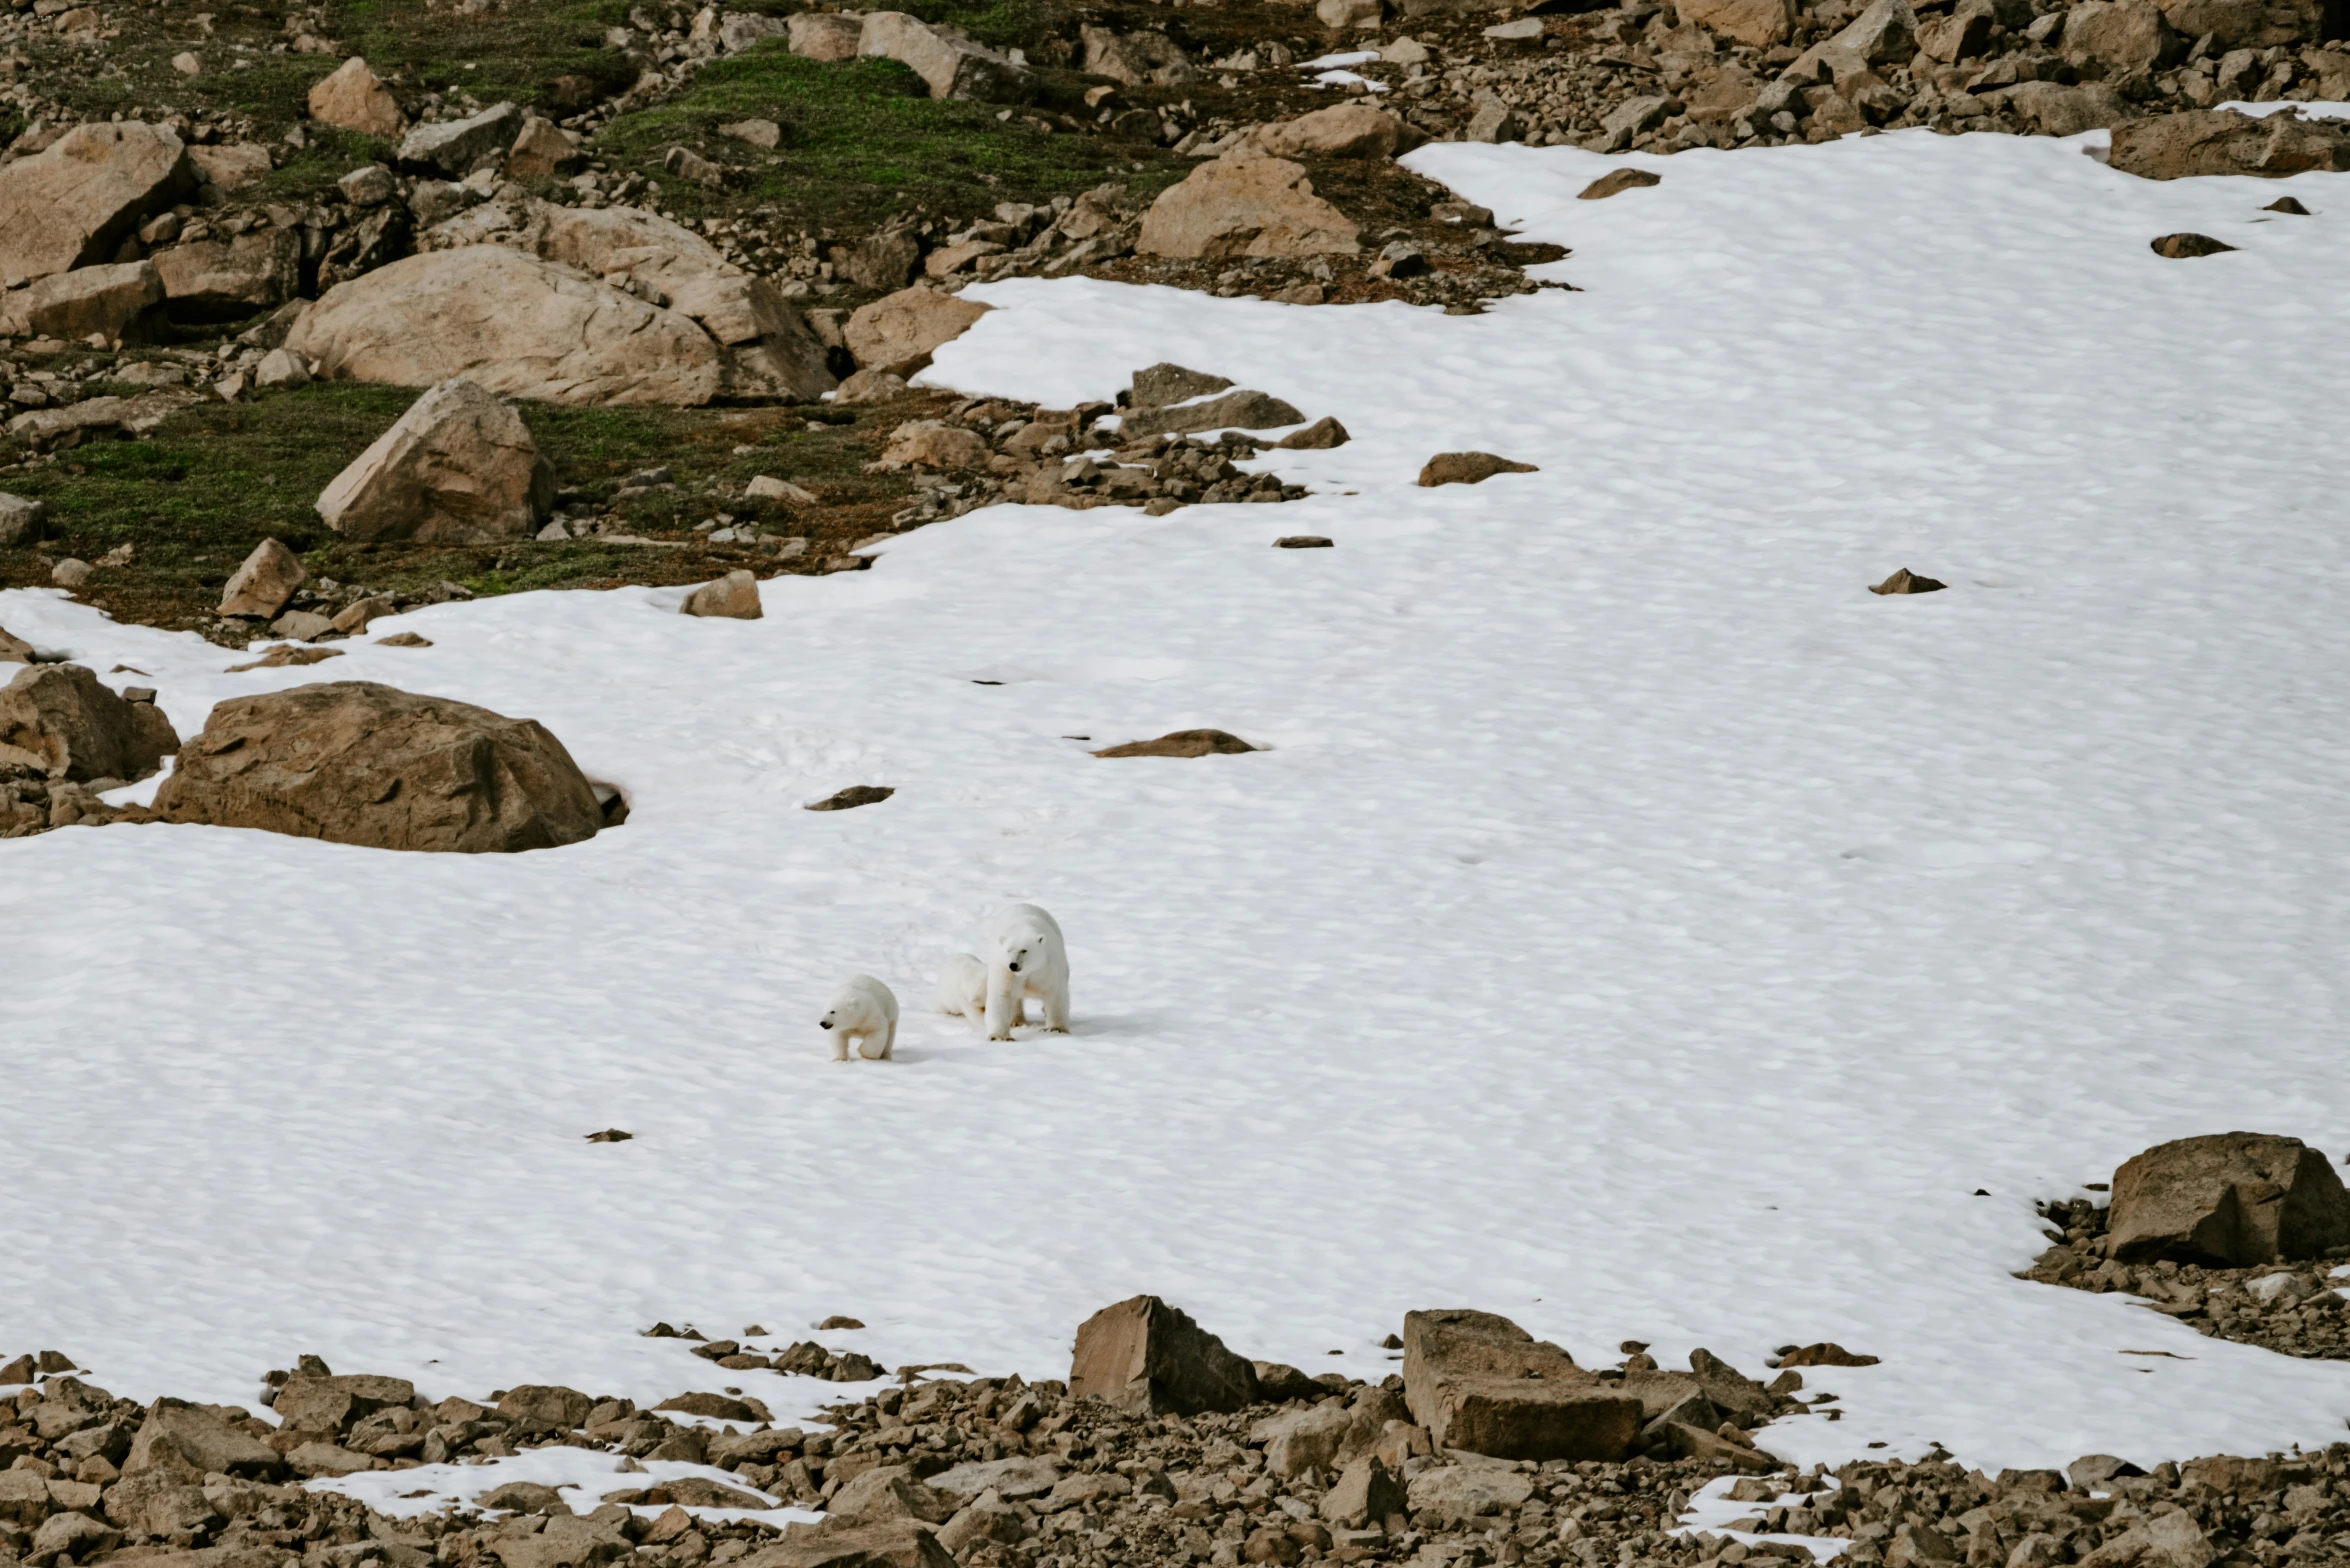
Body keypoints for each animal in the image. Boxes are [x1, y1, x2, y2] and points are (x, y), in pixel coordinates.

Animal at [986, 907, 1071, 1043]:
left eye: (1024, 950)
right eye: (1008, 950)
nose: (1013, 965)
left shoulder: (1048, 966)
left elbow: (1055, 992)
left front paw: (1056, 1028)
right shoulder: (1004, 970)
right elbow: (1002, 994)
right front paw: (999, 1036)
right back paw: (1016, 1021)